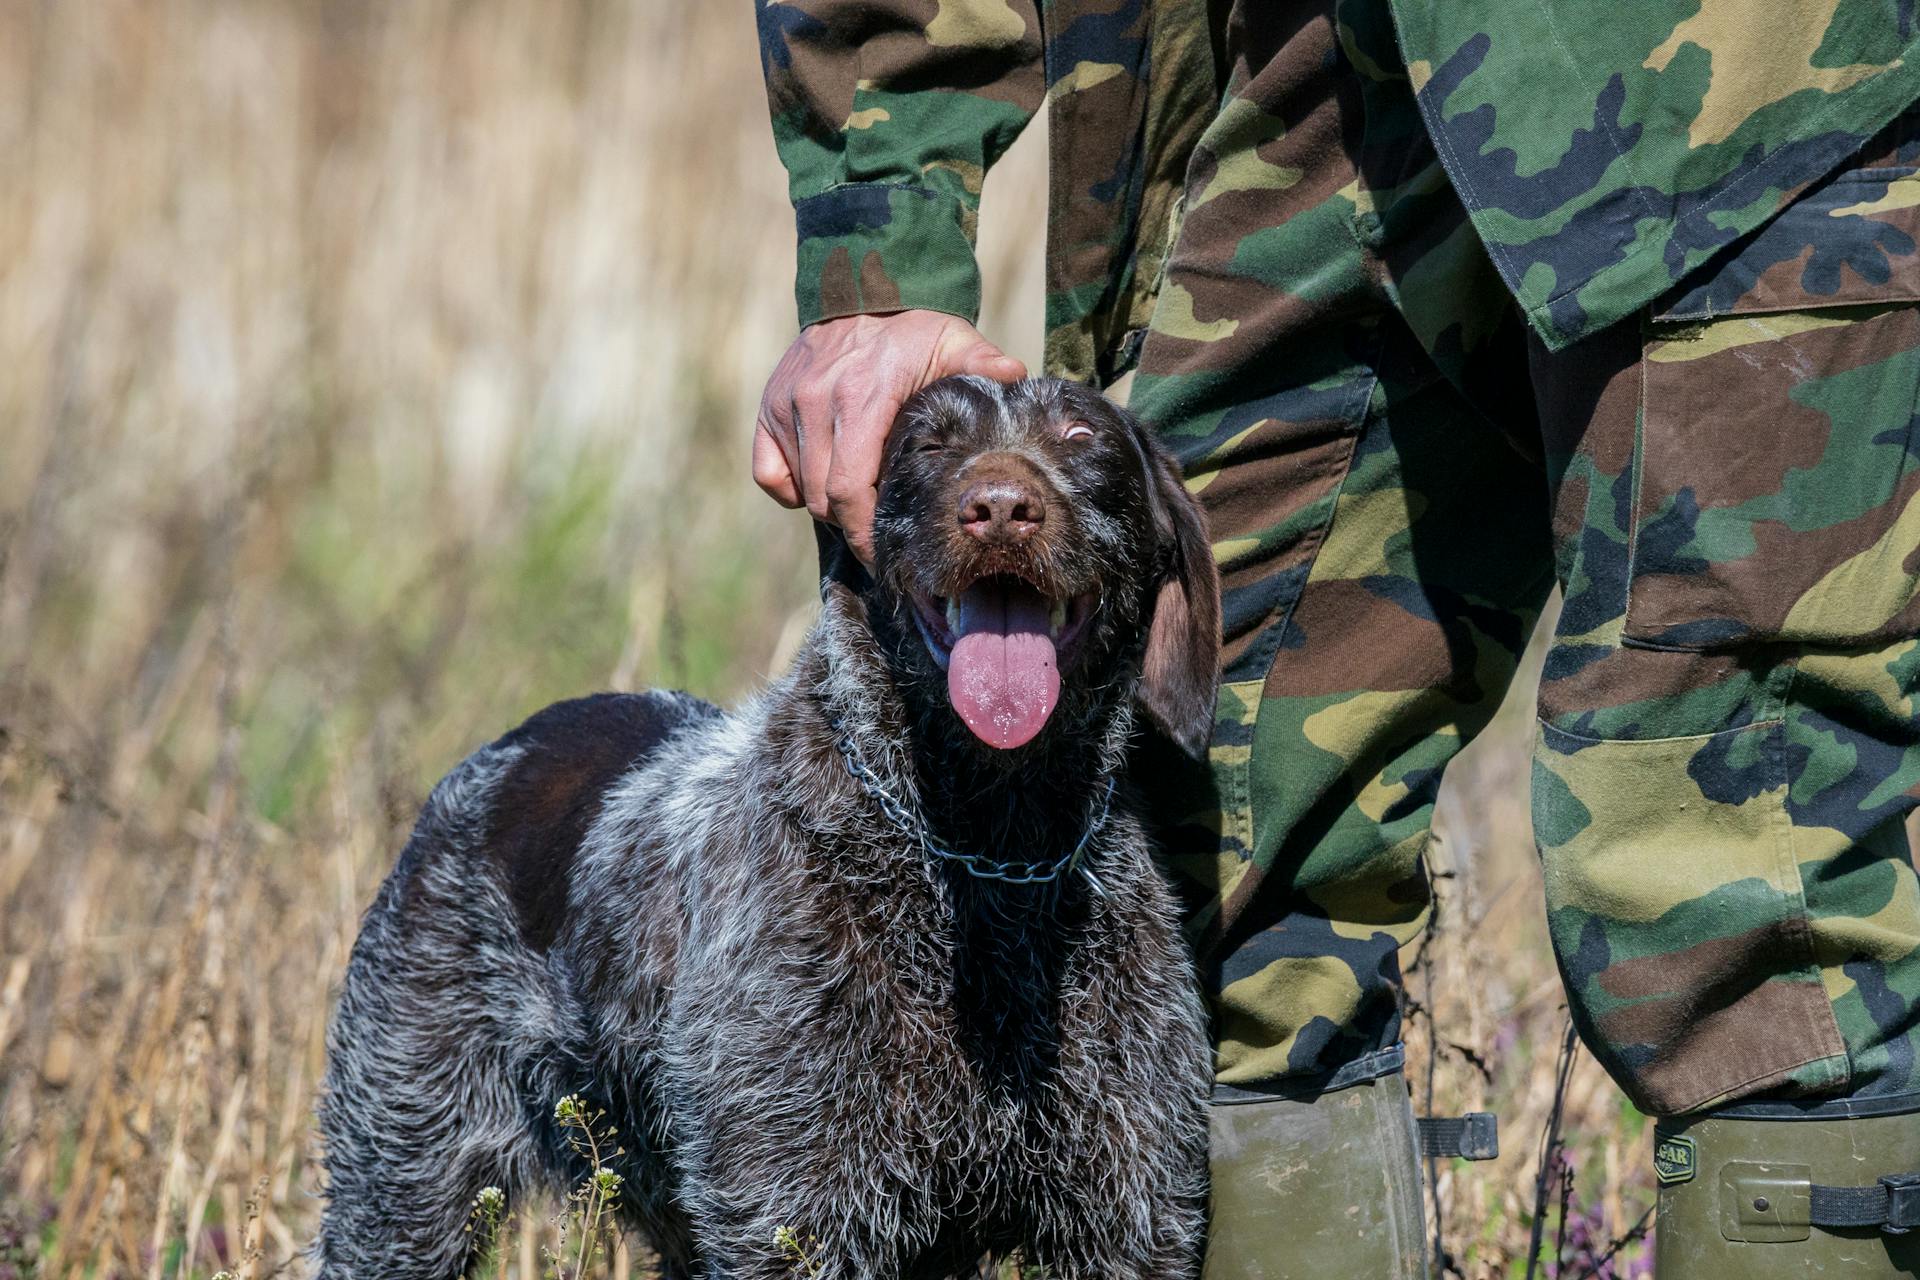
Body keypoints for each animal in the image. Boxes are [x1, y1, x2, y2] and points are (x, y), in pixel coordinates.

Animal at [314, 376, 1213, 1274]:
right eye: (926, 442)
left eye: (1080, 435)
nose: (998, 506)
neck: (995, 853)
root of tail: (499, 752)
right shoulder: (793, 1217)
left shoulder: (1132, 1223)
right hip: (401, 1195)